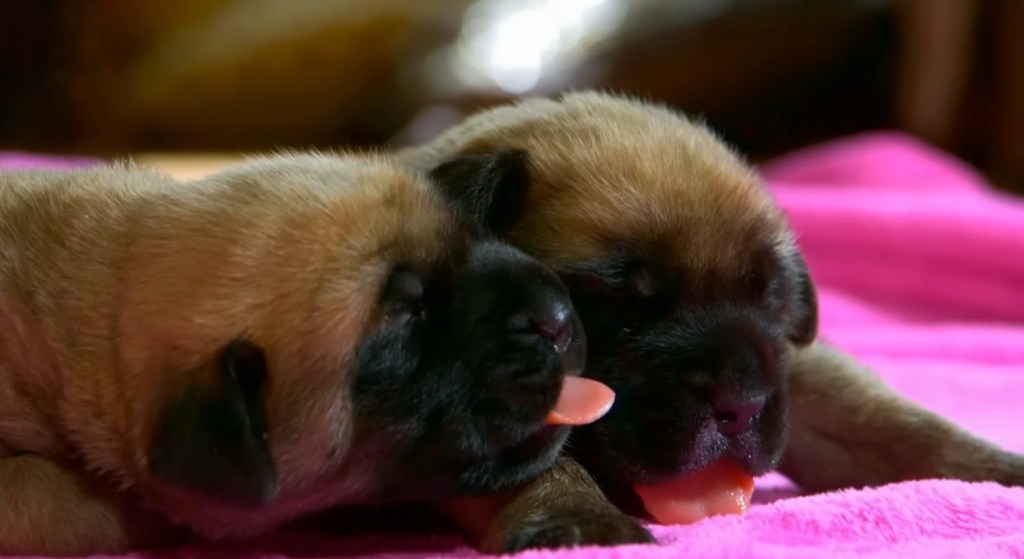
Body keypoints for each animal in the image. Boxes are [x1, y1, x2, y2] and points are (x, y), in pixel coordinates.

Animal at [399, 91, 1024, 536]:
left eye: (771, 301)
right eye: (613, 308)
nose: (739, 405)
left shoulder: (796, 369)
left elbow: (888, 422)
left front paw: (996, 470)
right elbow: (542, 461)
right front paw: (578, 519)